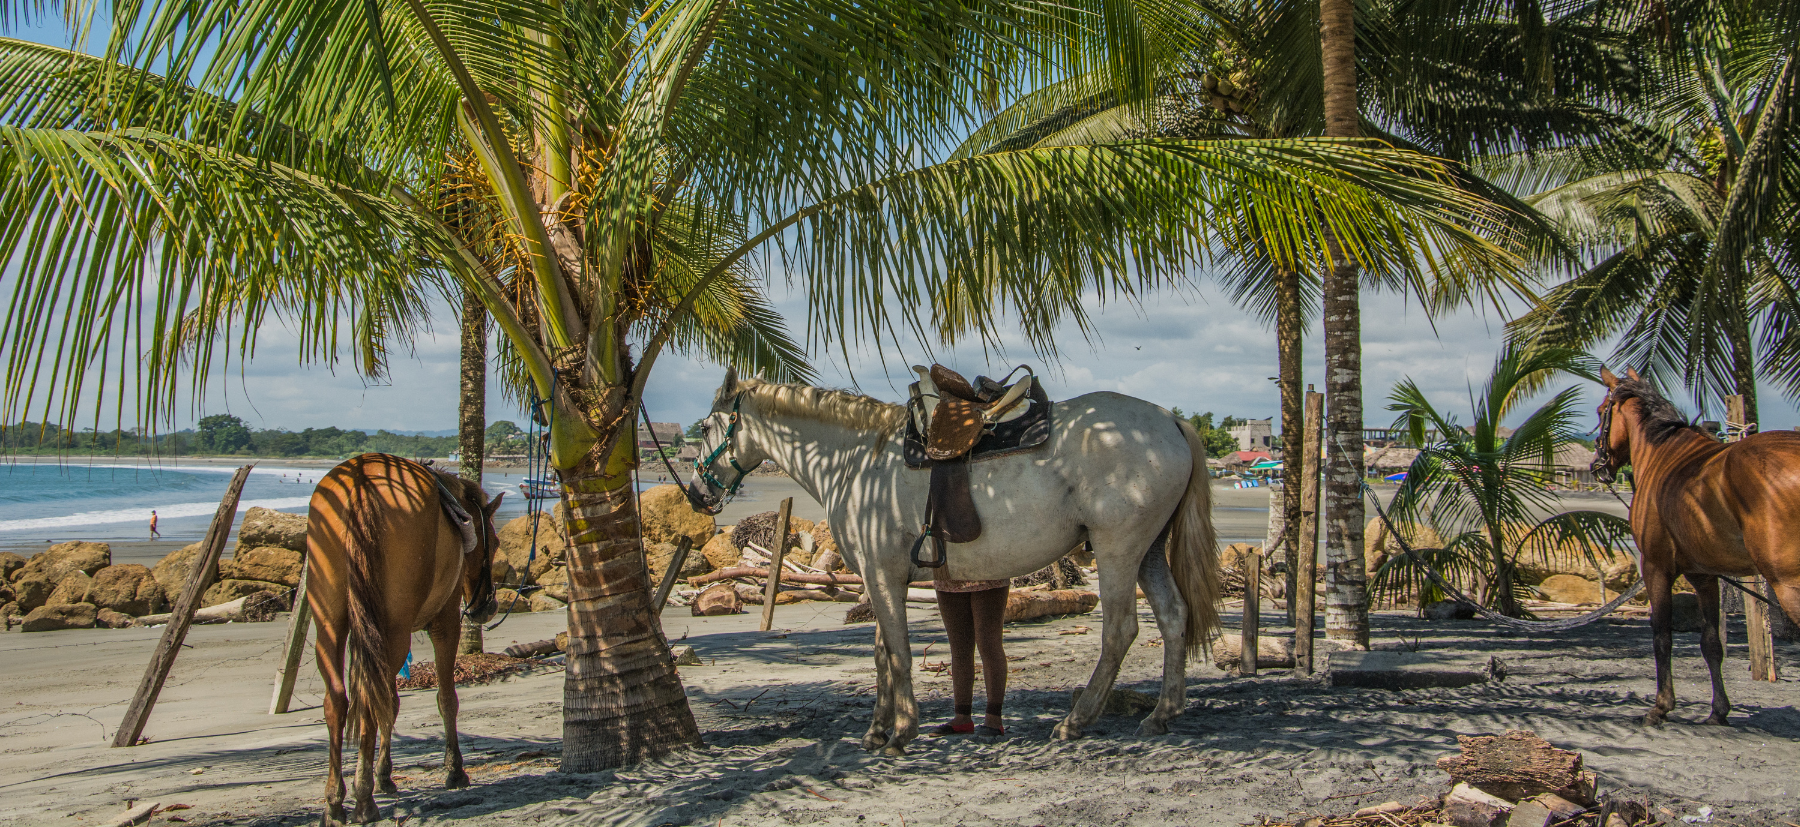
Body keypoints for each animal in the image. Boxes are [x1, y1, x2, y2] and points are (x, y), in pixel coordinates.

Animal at [305, 454, 504, 825]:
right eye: (496, 544)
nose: (487, 606)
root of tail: (360, 481)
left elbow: (392, 703)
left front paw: (384, 775)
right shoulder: (444, 624)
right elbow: (446, 699)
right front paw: (454, 770)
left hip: (331, 624)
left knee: (339, 700)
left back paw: (335, 801)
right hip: (391, 630)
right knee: (368, 699)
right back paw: (363, 798)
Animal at [688, 370, 1222, 754]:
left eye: (708, 427)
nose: (695, 494)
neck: (854, 462)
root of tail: (1169, 421)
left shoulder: (882, 577)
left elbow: (898, 653)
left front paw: (902, 732)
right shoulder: (881, 578)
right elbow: (883, 654)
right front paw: (878, 730)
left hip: (1118, 551)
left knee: (1120, 630)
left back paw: (1076, 722)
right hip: (1148, 552)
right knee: (1174, 616)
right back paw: (1162, 713)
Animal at [1592, 368, 1800, 726]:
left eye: (1601, 410)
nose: (1598, 465)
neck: (1664, 455)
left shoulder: (1656, 567)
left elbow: (1662, 635)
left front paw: (1661, 706)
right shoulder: (1705, 575)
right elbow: (1711, 643)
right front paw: (1719, 710)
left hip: (1788, 585)